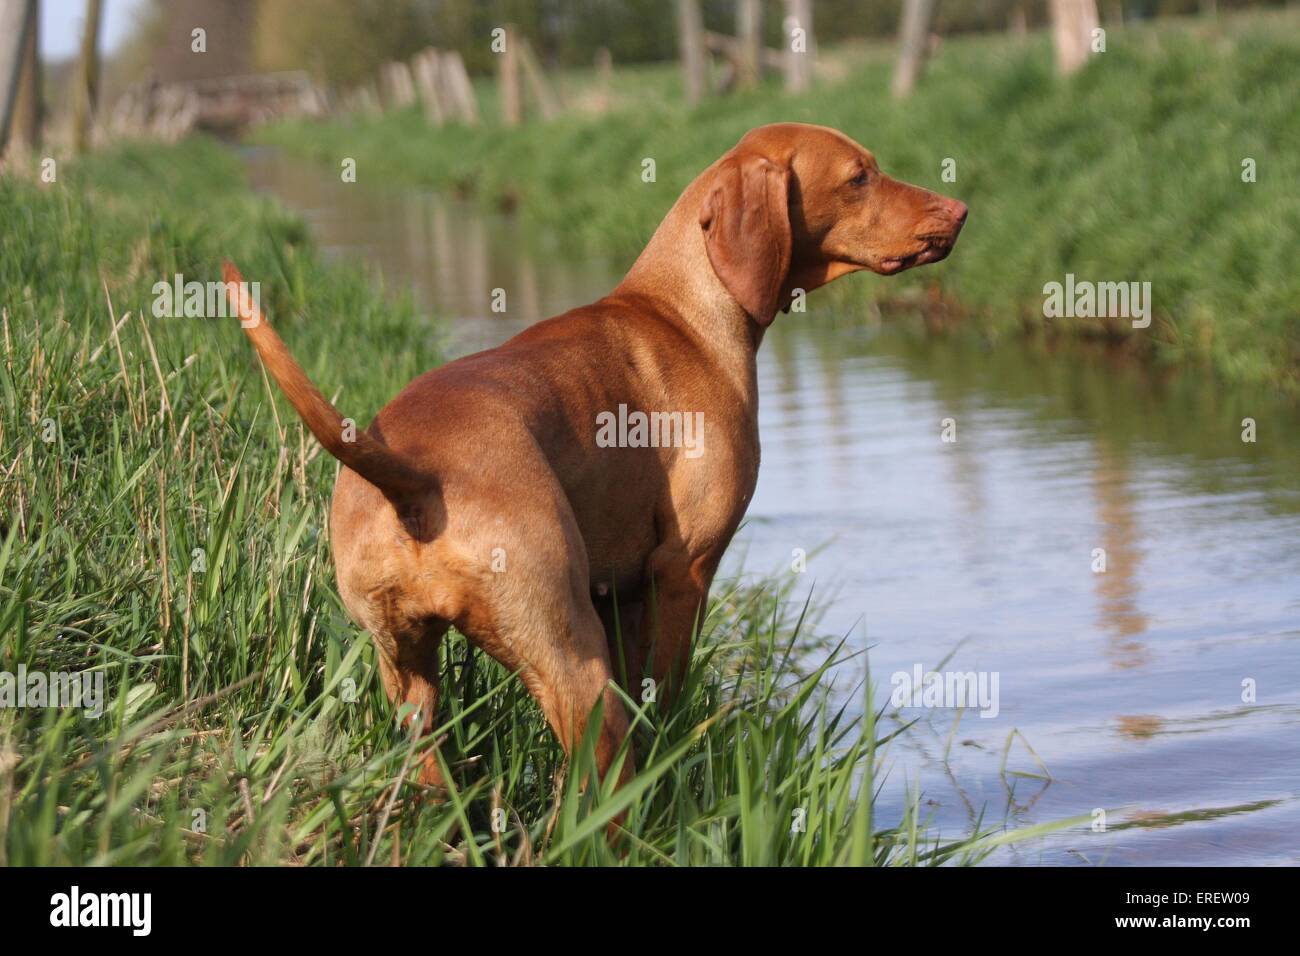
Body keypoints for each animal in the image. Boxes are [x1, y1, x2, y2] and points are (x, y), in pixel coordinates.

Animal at [223, 123, 967, 796]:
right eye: (860, 176)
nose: (959, 210)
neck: (685, 310)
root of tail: (415, 477)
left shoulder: (621, 591)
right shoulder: (684, 571)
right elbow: (665, 697)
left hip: (409, 679)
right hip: (572, 662)